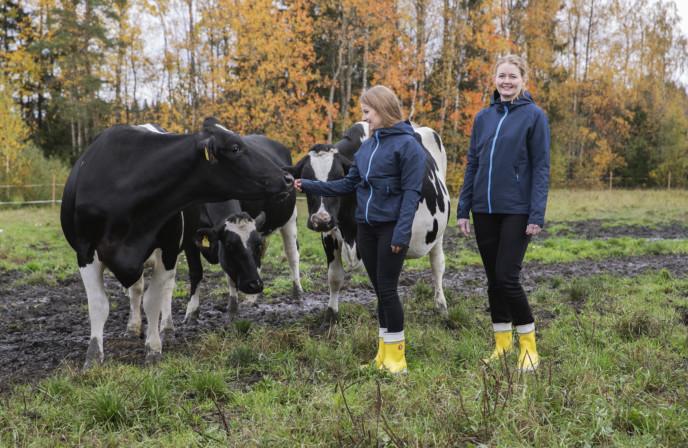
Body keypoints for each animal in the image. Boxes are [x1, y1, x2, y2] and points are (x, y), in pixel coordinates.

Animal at [59, 119, 292, 368]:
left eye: (257, 246)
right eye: (235, 147)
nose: (288, 178)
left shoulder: (169, 249)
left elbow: (153, 300)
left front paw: (153, 348)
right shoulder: (85, 252)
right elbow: (99, 304)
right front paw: (93, 356)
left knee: (165, 288)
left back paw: (167, 328)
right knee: (136, 288)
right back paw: (133, 326)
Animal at [290, 121, 452, 322]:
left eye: (338, 176)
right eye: (306, 178)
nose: (320, 220)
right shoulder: (329, 234)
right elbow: (334, 277)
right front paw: (331, 315)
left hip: (439, 233)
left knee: (437, 264)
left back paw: (441, 306)